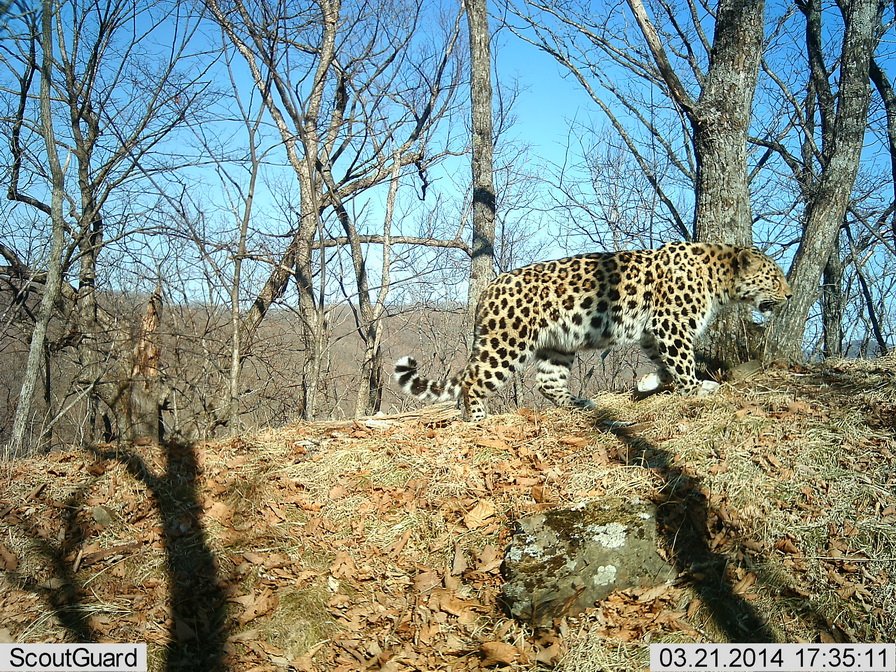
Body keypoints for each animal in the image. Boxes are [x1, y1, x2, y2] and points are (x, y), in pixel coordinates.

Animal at [392, 242, 792, 420]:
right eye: (774, 278)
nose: (789, 295)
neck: (719, 277)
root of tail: (488, 290)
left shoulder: (652, 330)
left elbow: (664, 363)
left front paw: (651, 382)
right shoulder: (671, 324)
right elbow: (682, 362)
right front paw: (697, 389)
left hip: (557, 345)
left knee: (547, 383)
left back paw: (580, 403)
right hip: (507, 342)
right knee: (475, 380)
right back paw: (478, 419)